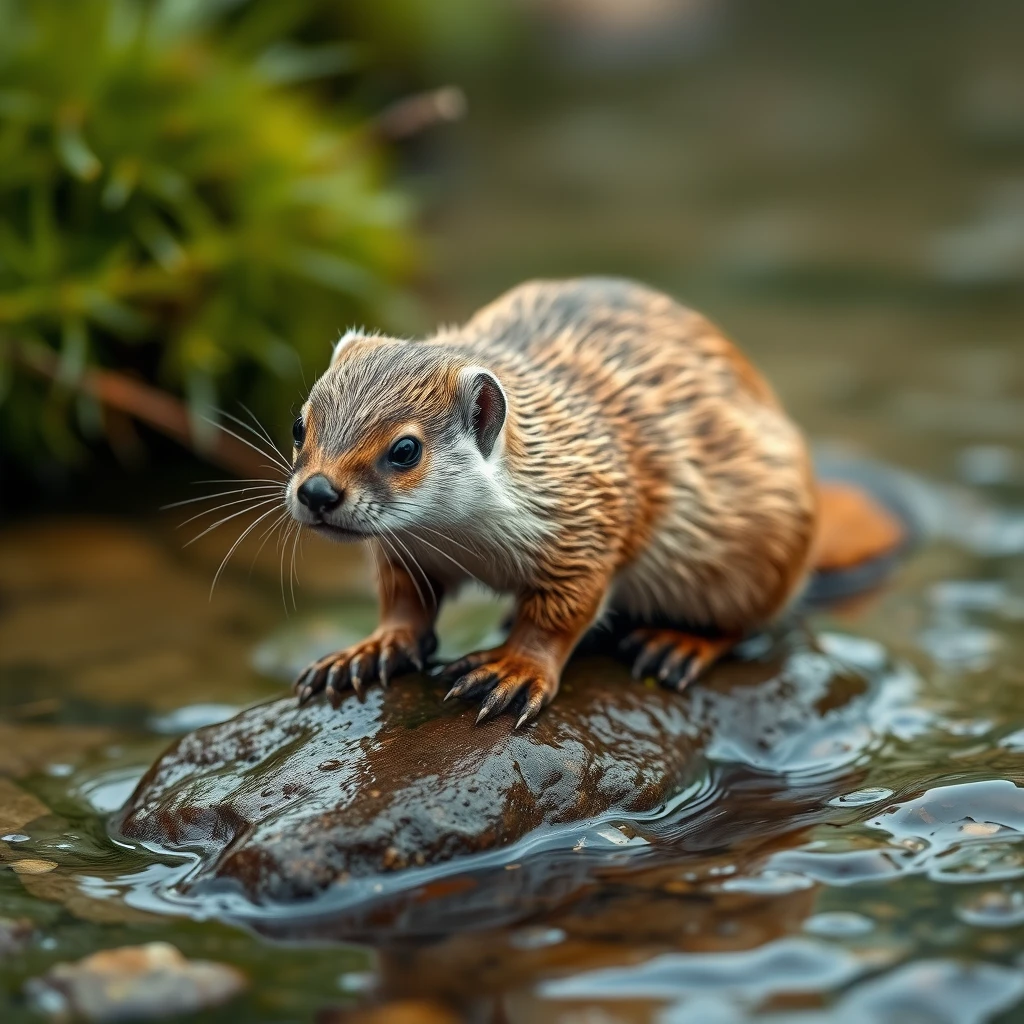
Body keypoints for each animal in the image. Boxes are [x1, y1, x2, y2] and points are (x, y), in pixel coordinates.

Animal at [286, 280, 815, 724]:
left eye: (404, 450)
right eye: (298, 425)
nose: (316, 491)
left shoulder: (589, 533)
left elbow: (558, 616)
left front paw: (515, 669)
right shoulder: (406, 553)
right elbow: (403, 605)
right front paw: (371, 649)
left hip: (759, 555)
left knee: (749, 622)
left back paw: (679, 643)